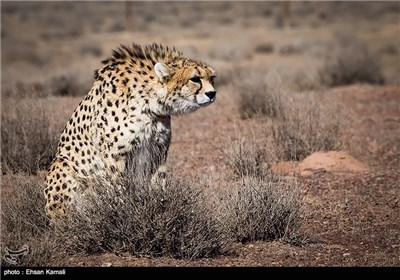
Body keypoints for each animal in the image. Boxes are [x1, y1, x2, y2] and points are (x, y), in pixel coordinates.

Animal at [44, 42, 216, 220]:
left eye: (212, 78)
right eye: (195, 79)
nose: (212, 93)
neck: (150, 102)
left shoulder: (159, 151)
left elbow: (159, 184)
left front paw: (161, 207)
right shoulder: (114, 154)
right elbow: (120, 190)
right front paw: (124, 212)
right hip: (62, 166)